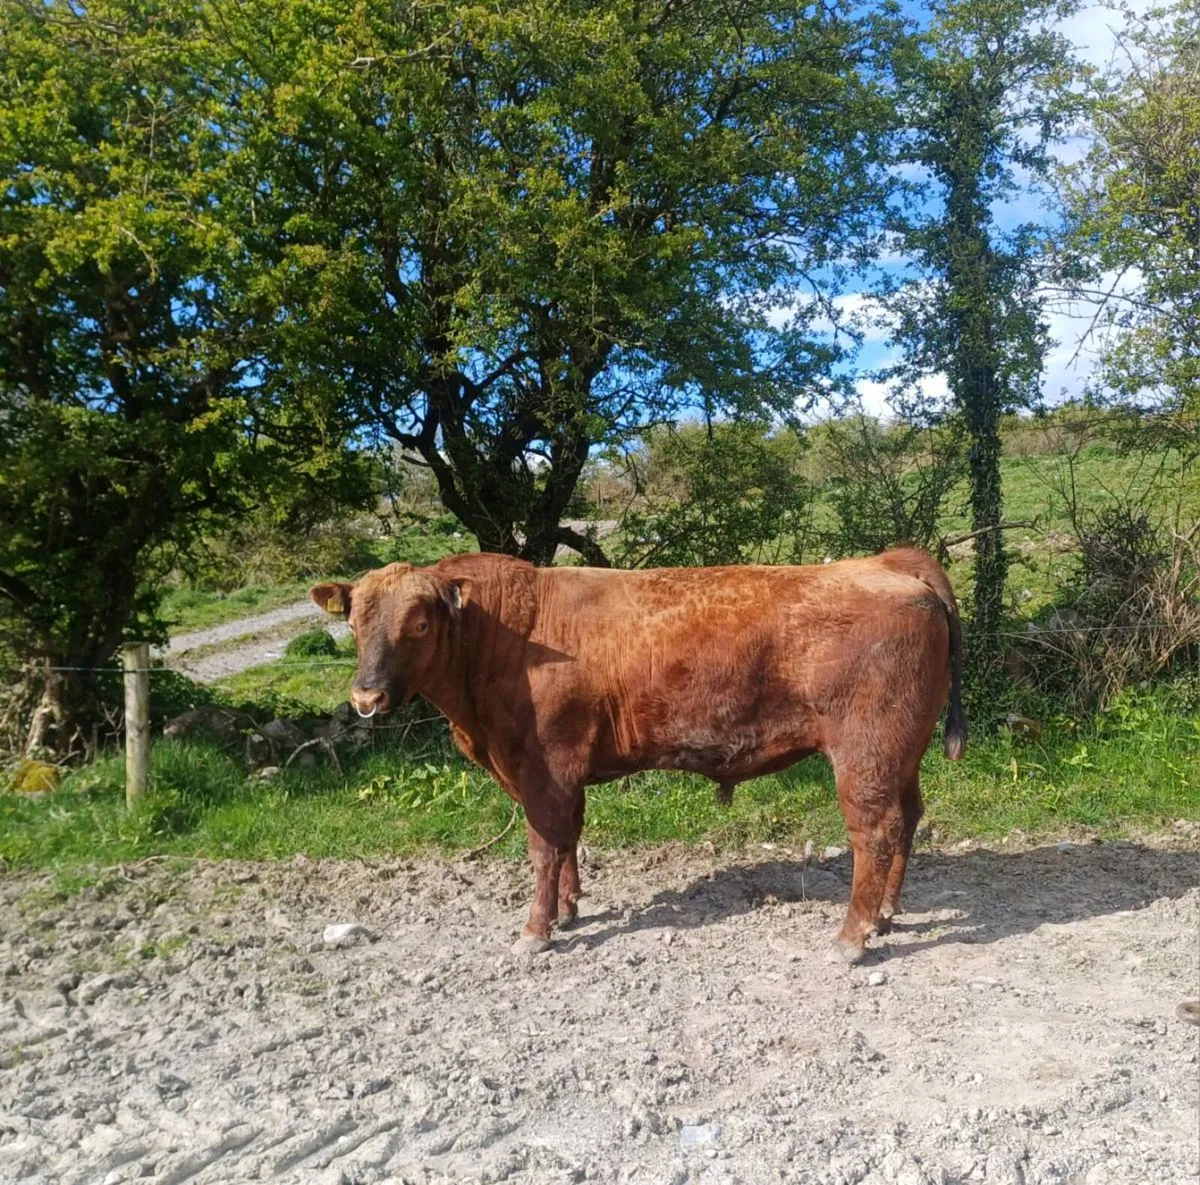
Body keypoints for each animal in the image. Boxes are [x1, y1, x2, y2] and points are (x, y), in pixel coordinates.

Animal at [311, 547, 966, 964]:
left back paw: (852, 938)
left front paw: (536, 930)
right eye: (354, 622)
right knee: (908, 819)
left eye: (420, 623)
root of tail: (887, 562)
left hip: (865, 755)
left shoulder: (545, 766)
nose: (366, 697)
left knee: (873, 832)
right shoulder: (561, 773)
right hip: (902, 754)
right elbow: (568, 839)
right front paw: (569, 908)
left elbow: (544, 847)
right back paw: (886, 914)